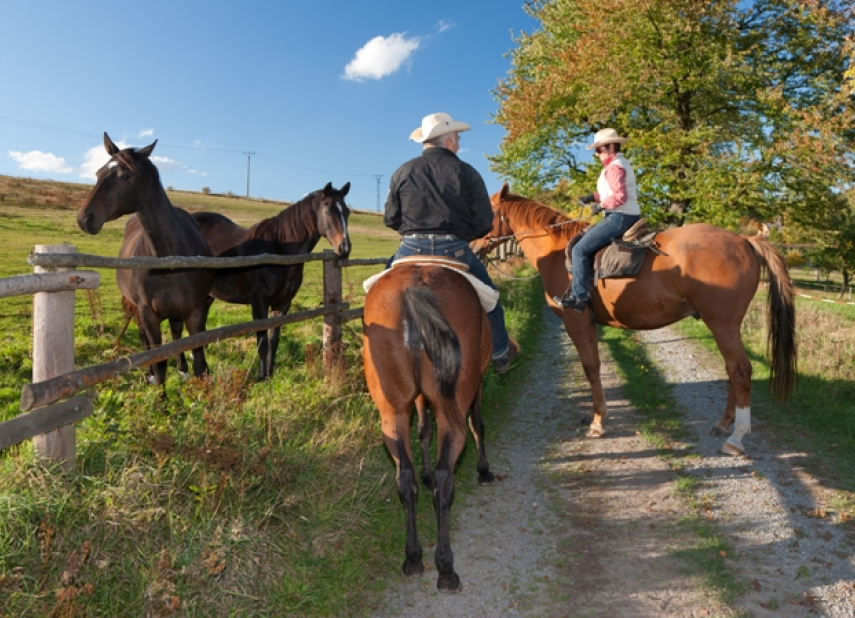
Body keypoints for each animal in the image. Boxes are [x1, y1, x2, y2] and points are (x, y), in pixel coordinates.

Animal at [77, 134, 214, 384]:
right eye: (98, 173)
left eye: (125, 176)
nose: (84, 218)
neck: (169, 262)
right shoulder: (148, 314)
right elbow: (159, 363)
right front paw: (157, 384)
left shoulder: (196, 311)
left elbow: (200, 362)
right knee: (146, 341)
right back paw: (149, 373)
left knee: (175, 332)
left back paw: (181, 368)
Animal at [193, 180, 352, 378]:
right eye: (327, 210)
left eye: (347, 212)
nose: (344, 248)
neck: (279, 250)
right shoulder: (259, 302)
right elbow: (262, 342)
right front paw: (261, 378)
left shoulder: (282, 303)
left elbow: (273, 340)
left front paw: (269, 375)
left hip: (207, 296)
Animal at [362, 262, 494, 588]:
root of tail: (414, 289)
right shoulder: (475, 386)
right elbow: (478, 423)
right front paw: (484, 470)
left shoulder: (419, 398)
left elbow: (423, 430)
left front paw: (425, 473)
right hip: (452, 408)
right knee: (446, 476)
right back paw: (445, 568)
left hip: (392, 413)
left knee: (404, 478)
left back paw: (412, 558)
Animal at [478, 183, 800, 452]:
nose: (473, 246)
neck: (558, 253)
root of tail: (745, 240)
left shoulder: (577, 322)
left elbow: (591, 368)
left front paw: (598, 422)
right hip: (726, 326)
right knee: (732, 369)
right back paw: (724, 424)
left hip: (722, 323)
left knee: (741, 370)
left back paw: (736, 438)